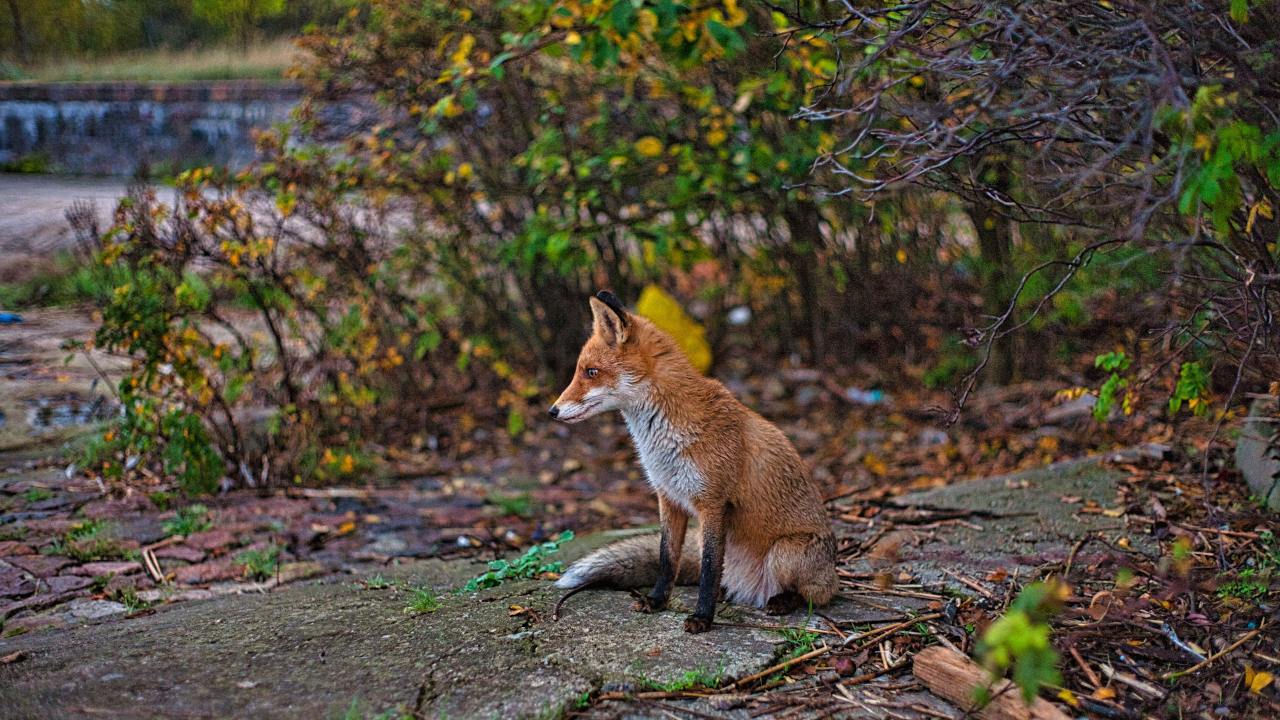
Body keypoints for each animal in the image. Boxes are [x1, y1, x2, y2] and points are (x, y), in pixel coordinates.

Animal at [549, 290, 838, 633]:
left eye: (591, 372)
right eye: (581, 371)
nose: (552, 411)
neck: (663, 438)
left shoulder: (712, 503)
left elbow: (709, 568)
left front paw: (702, 617)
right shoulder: (668, 497)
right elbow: (667, 559)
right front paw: (658, 601)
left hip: (785, 553)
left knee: (812, 595)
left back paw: (781, 600)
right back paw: (729, 594)